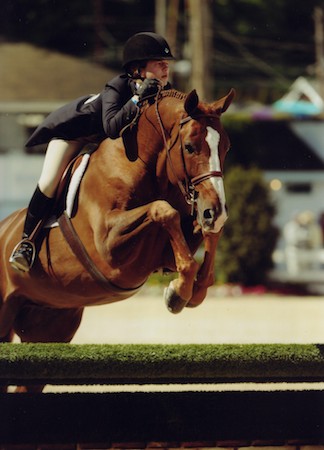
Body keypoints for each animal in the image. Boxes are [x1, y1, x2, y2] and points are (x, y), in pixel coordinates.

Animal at [0, 89, 233, 390]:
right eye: (190, 147)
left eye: (226, 147)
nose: (215, 211)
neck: (140, 162)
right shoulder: (109, 246)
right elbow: (163, 210)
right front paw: (179, 292)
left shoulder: (162, 252)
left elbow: (207, 233)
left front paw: (194, 290)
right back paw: (22, 253)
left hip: (49, 325)